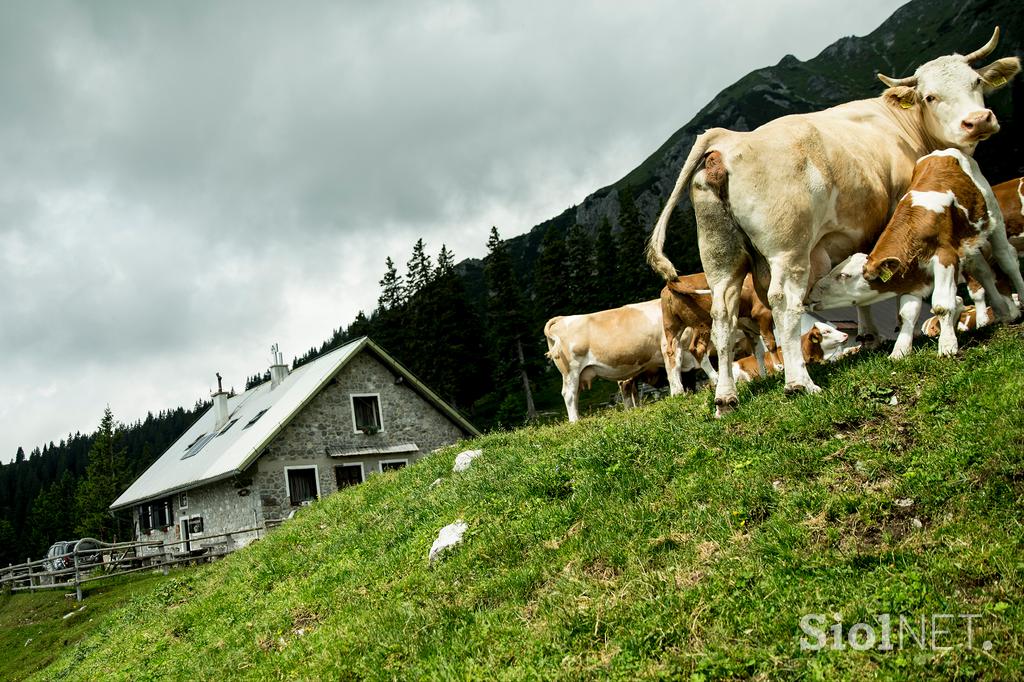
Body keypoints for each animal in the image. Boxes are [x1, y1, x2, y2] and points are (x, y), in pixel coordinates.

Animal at [806, 148, 1024, 358]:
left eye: (844, 275)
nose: (812, 292)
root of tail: (941, 153)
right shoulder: (912, 277)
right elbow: (907, 313)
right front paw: (900, 350)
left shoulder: (946, 258)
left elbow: (942, 305)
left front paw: (947, 345)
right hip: (969, 244)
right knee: (983, 272)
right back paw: (1003, 313)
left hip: (994, 216)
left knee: (1007, 260)